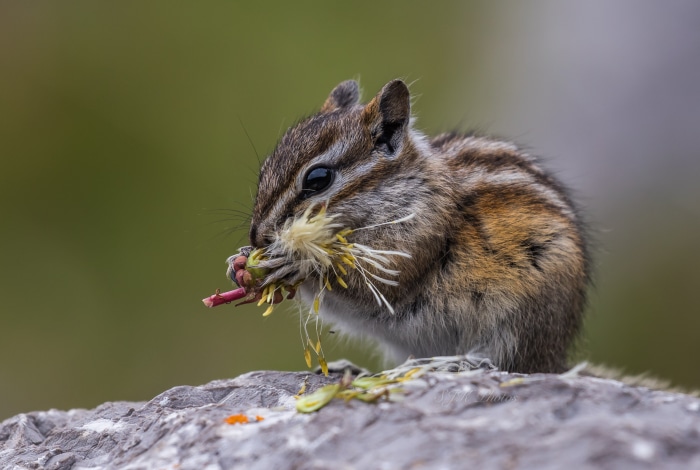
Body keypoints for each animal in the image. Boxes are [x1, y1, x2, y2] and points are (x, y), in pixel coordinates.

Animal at [244, 79, 591, 374]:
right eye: (264, 171)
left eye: (318, 179)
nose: (257, 236)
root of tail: (554, 359)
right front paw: (241, 259)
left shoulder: (412, 247)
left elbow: (371, 284)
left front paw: (293, 262)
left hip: (524, 319)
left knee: (509, 363)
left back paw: (458, 364)